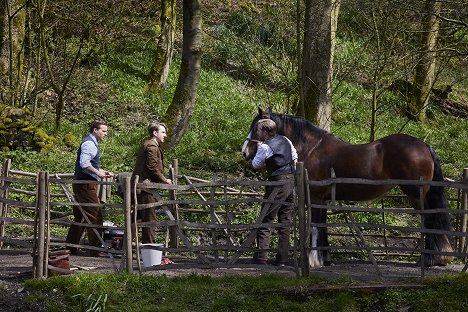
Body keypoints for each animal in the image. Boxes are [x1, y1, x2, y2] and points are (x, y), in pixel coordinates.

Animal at [245, 108, 454, 268]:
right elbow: (323, 226)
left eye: (258, 127)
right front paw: (325, 259)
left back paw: (427, 260)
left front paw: (314, 260)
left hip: (416, 195)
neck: (313, 148)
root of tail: (424, 146)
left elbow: (315, 226)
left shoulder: (316, 197)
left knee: (429, 221)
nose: (245, 152)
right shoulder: (323, 199)